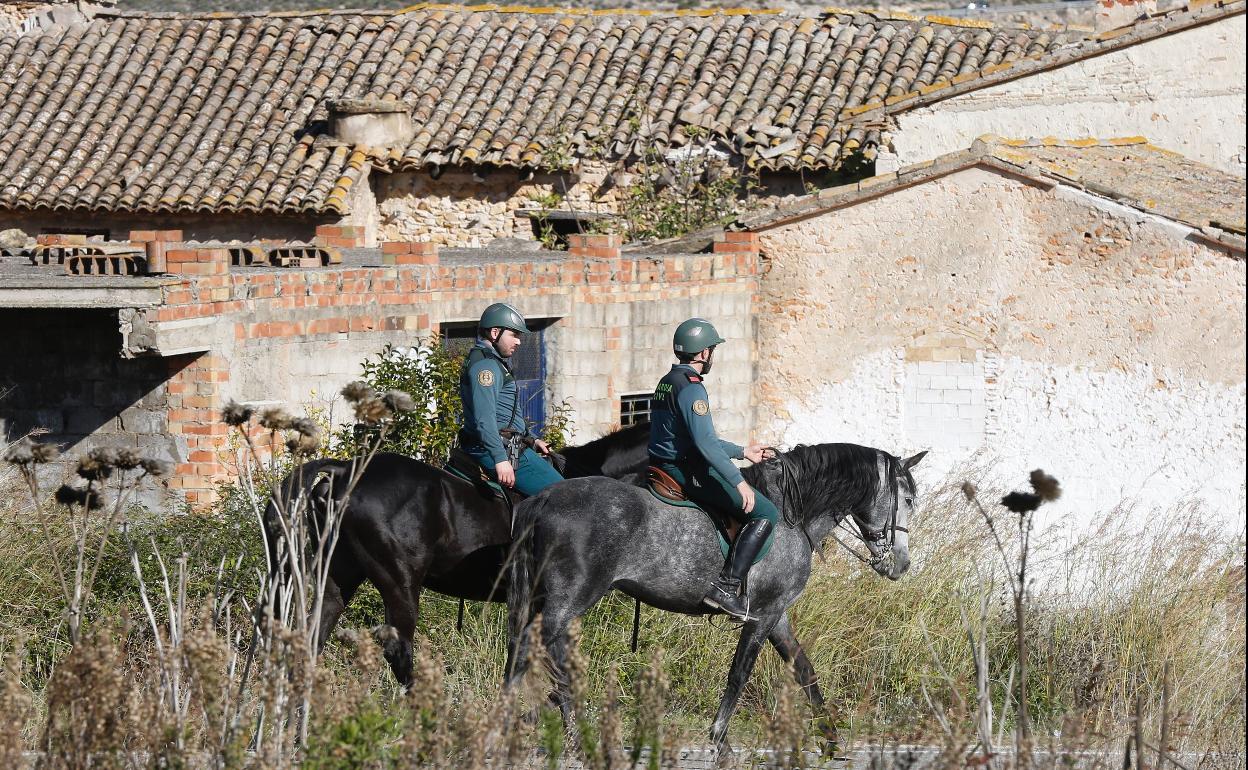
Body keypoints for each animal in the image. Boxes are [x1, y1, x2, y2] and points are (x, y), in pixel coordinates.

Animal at [506, 444, 928, 758]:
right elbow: (739, 674)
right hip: (571, 597)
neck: (791, 513)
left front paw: (831, 740)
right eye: (907, 499)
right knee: (533, 648)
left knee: (539, 653)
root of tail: (545, 497)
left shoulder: (778, 616)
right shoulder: (763, 615)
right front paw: (720, 740)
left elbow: (804, 670)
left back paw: (557, 730)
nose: (902, 564)